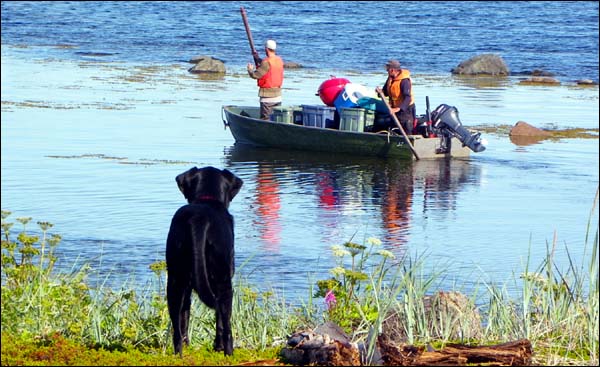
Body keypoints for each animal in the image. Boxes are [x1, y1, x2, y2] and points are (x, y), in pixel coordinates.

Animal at [165, 167, 243, 356]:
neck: (207, 199)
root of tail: (198, 220)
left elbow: (184, 316)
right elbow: (220, 322)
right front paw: (218, 346)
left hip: (175, 280)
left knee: (176, 328)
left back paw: (179, 354)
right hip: (224, 282)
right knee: (226, 325)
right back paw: (229, 352)